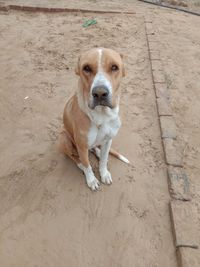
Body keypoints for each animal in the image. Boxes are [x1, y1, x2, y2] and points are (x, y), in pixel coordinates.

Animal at [58, 47, 129, 191]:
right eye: (86, 68)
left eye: (114, 67)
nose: (100, 93)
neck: (102, 116)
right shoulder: (81, 146)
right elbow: (87, 165)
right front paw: (91, 180)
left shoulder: (108, 140)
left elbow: (103, 160)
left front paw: (104, 173)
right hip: (63, 138)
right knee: (75, 157)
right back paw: (80, 164)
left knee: (95, 149)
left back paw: (97, 151)